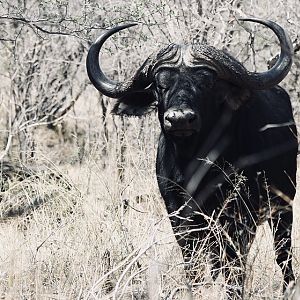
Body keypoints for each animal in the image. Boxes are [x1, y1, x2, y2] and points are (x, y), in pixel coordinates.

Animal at [86, 18, 298, 298]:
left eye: (207, 83)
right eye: (160, 84)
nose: (180, 119)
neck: (192, 163)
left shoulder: (239, 216)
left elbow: (235, 265)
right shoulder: (178, 214)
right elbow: (193, 262)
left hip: (283, 208)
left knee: (282, 255)